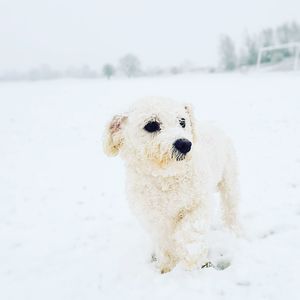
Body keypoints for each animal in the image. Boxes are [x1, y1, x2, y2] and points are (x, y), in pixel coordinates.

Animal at [103, 97, 239, 274]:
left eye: (182, 121)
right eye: (151, 125)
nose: (185, 144)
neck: (166, 177)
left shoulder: (199, 202)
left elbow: (189, 230)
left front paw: (191, 259)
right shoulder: (153, 218)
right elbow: (164, 243)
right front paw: (167, 267)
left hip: (229, 179)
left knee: (231, 208)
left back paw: (235, 231)